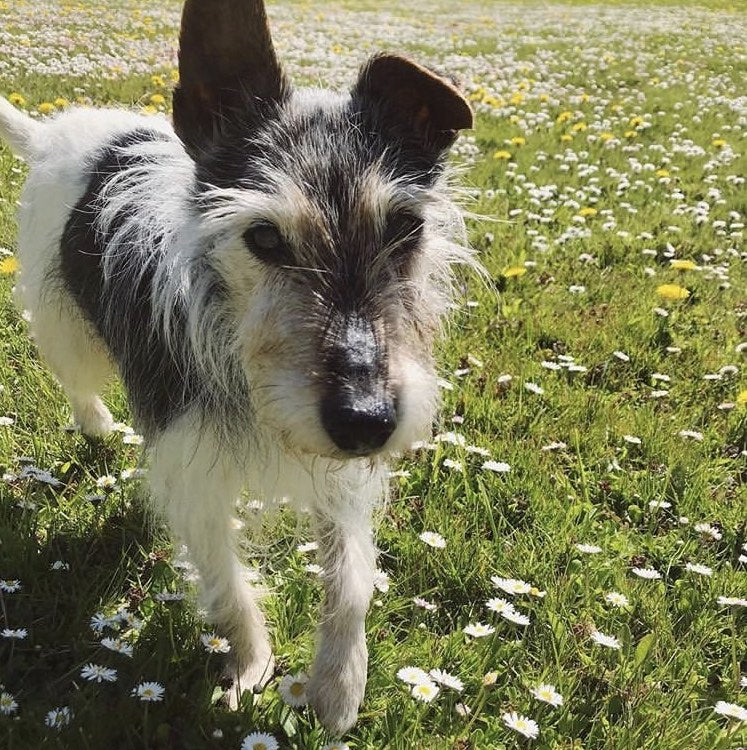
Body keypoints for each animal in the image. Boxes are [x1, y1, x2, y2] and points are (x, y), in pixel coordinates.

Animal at [0, 0, 476, 736]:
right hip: (63, 329)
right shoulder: (192, 474)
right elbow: (226, 582)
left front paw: (338, 684)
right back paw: (98, 424)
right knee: (77, 378)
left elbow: (351, 577)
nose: (366, 421)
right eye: (264, 237)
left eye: (404, 228)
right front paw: (250, 666)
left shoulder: (343, 471)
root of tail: (57, 132)